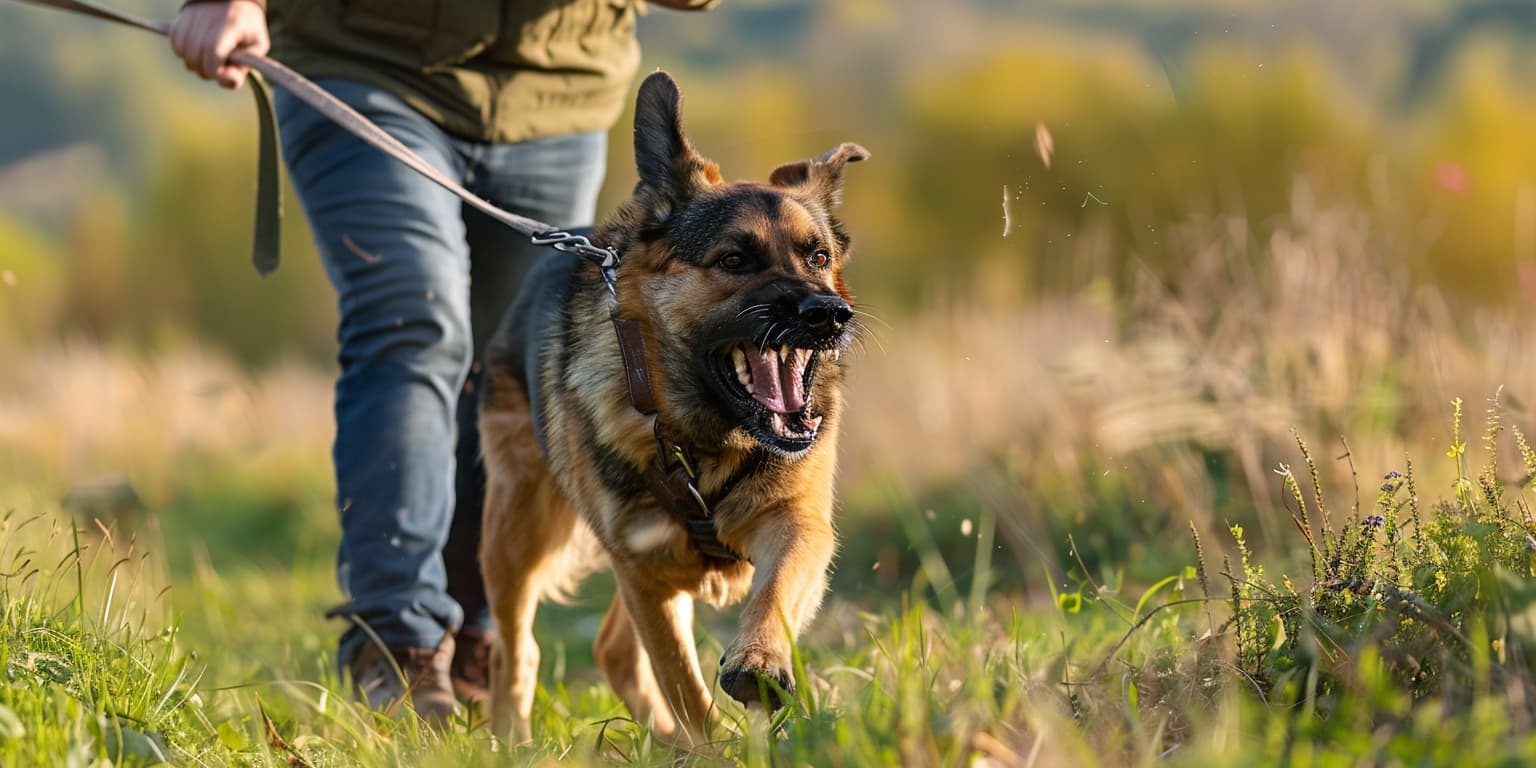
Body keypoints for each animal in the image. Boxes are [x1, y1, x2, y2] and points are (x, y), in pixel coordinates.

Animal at [476, 72, 866, 743]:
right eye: (733, 260)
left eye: (818, 257)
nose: (829, 316)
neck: (704, 436)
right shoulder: (642, 571)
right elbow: (684, 686)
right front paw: (711, 747)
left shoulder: (797, 521)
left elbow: (774, 592)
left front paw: (759, 659)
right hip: (518, 536)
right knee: (515, 648)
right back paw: (513, 740)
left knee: (611, 647)